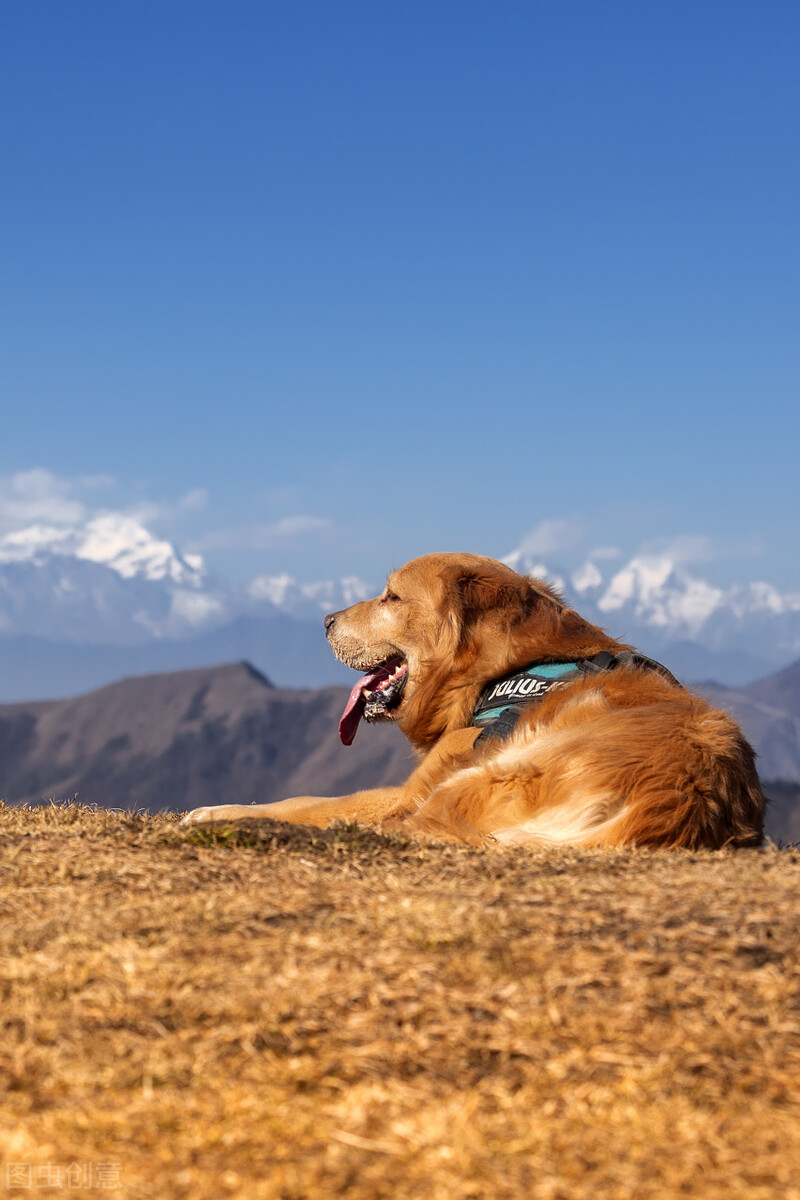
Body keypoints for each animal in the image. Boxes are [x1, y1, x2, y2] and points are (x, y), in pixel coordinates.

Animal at [178, 552, 767, 844]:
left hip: (481, 776)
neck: (500, 673)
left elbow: (311, 802)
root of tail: (685, 800)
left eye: (391, 597)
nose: (324, 620)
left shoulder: (412, 788)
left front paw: (217, 811)